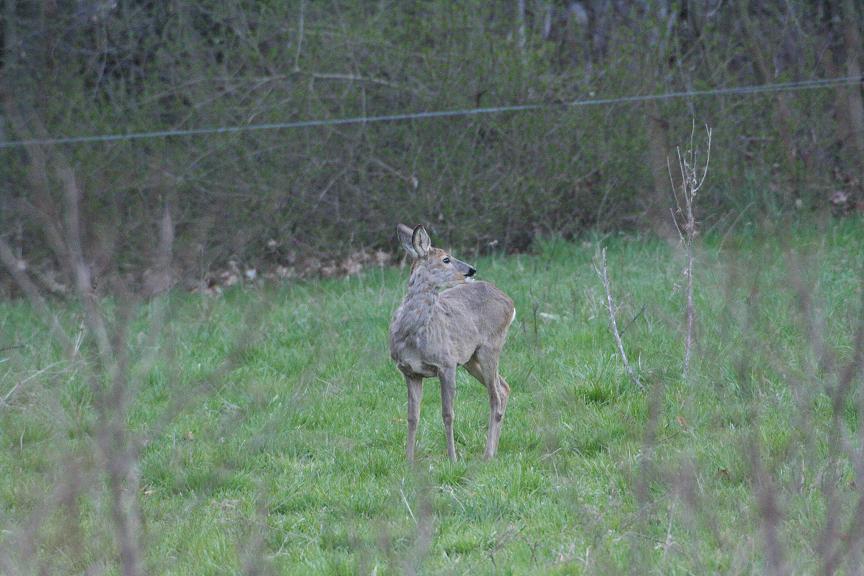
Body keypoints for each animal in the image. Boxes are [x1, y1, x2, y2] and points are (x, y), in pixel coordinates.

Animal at [390, 223, 512, 462]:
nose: (471, 270)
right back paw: (492, 451)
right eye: (445, 259)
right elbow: (412, 416)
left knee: (495, 395)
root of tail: (510, 302)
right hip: (470, 359)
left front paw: (453, 459)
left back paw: (487, 455)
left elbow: (448, 414)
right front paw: (409, 460)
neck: (412, 336)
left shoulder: (446, 364)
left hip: (491, 346)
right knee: (503, 387)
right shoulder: (409, 371)